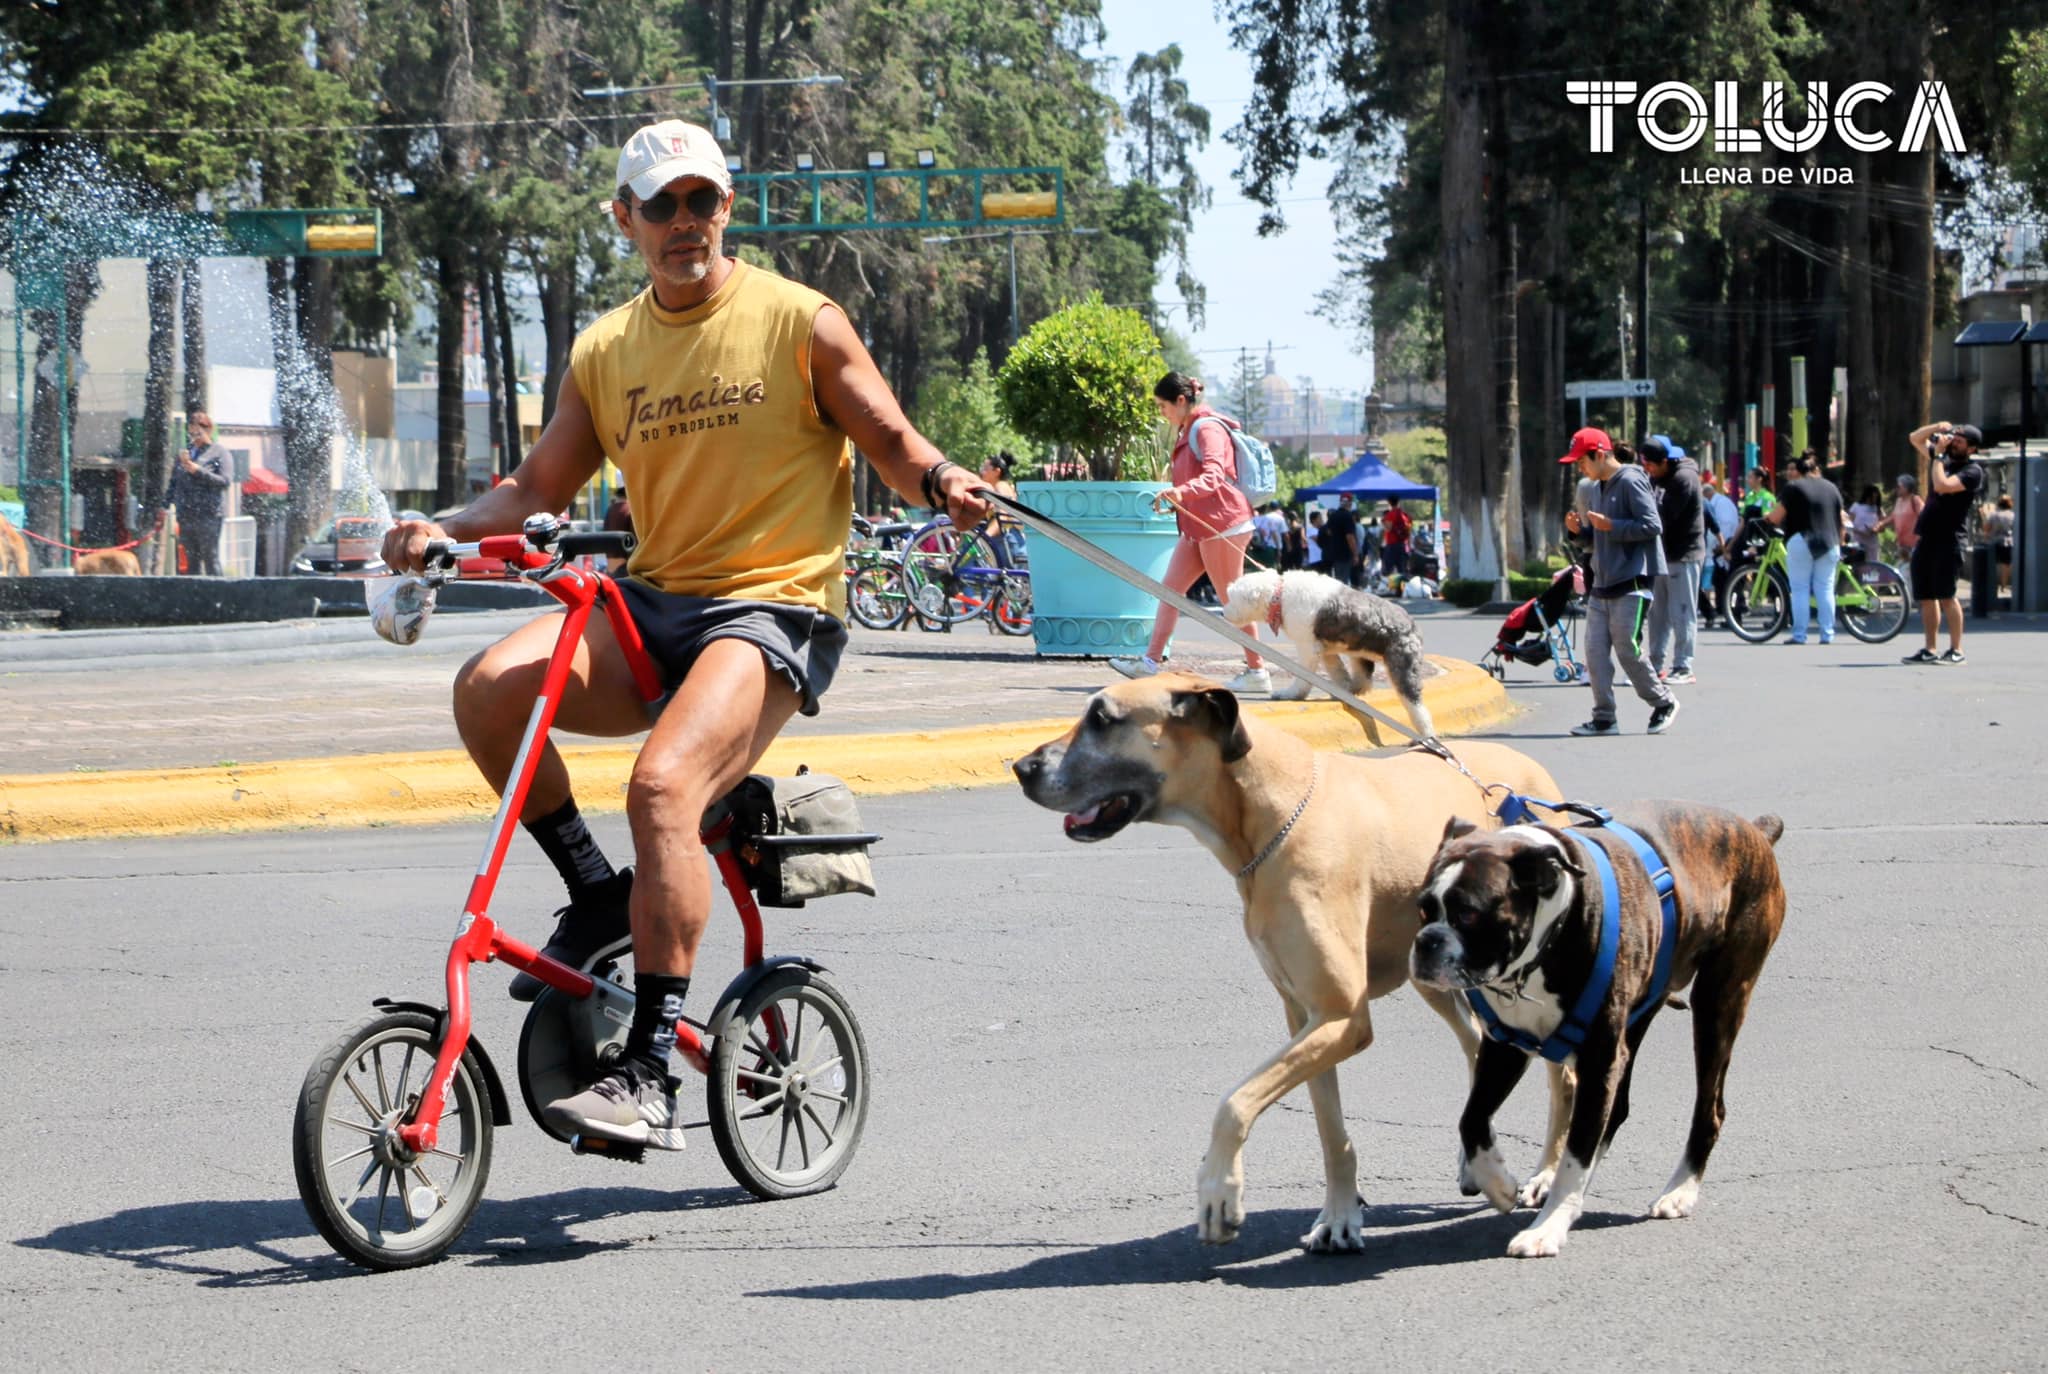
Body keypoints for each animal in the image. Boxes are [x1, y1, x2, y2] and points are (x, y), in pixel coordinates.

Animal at [1011, 671, 1564, 1253]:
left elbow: (1233, 1103)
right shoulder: (1307, 1016)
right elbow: (1329, 1127)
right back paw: (1481, 1165)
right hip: (1434, 978)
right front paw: (1340, 1215)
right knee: (1477, 1046)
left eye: (1103, 718)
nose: (1021, 768)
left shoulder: (1342, 1017)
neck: (1268, 815)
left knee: (1563, 1082)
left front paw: (1220, 1189)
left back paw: (1544, 1175)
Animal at [1220, 569, 1433, 741]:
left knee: (1415, 703)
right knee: (1363, 680)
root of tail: (1412, 625)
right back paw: (1352, 690)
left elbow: (1303, 677)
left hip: (1402, 664)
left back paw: (1426, 734)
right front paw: (1342, 689)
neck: (1279, 597)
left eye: (1231, 597)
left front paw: (1290, 694)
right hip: (1360, 654)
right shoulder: (1323, 649)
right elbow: (1336, 670)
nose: (1223, 612)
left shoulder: (1307, 646)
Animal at [1417, 802, 1785, 1261]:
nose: (1426, 941)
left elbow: (1576, 1152)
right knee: (1615, 1109)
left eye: (1468, 913)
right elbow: (1472, 1119)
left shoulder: (1596, 1058)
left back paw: (1679, 1191)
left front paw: (1548, 1228)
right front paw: (1498, 1183)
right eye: (1423, 909)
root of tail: (1754, 831)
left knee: (1707, 1109)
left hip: (1719, 1000)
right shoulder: (1505, 1049)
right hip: (1639, 1015)